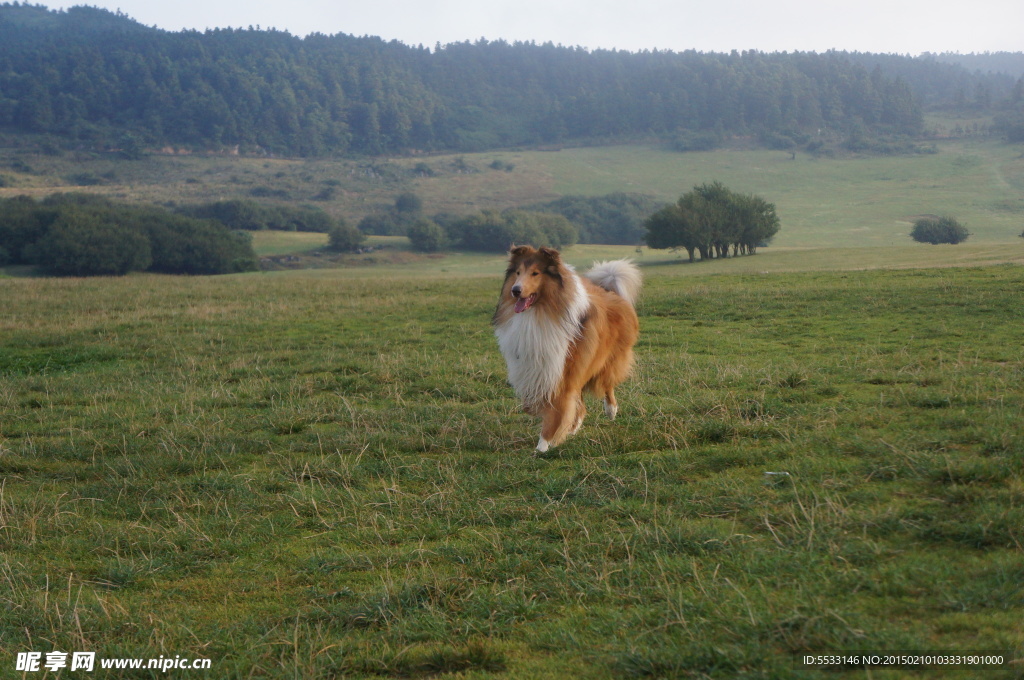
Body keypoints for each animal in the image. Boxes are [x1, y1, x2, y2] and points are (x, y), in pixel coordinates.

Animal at [493, 245, 638, 450]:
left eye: (535, 273)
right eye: (518, 273)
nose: (515, 290)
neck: (539, 313)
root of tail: (608, 290)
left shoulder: (562, 370)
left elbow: (557, 409)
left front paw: (543, 445)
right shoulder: (539, 368)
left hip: (608, 359)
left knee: (607, 382)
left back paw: (611, 410)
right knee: (582, 401)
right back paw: (574, 426)